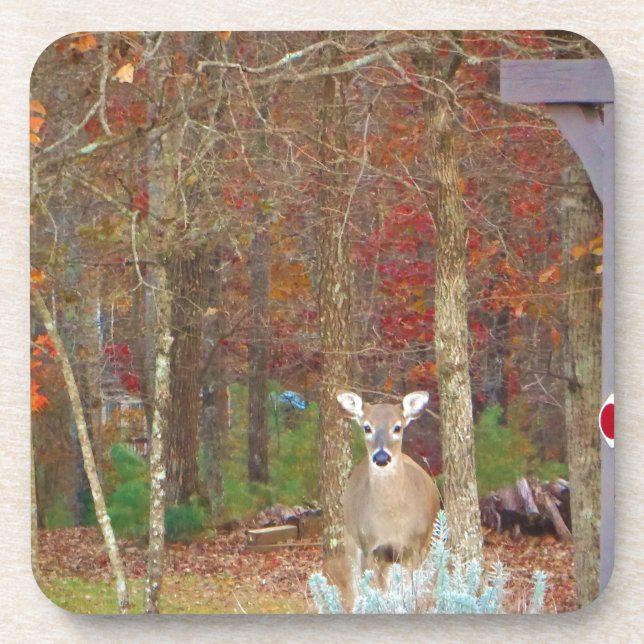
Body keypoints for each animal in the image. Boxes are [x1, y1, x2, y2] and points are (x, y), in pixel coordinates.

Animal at [332, 390, 440, 610]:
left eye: (397, 427)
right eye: (367, 427)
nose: (381, 457)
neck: (392, 522)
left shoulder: (414, 547)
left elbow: (411, 595)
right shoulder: (371, 547)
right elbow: (377, 595)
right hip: (352, 539)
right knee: (354, 585)